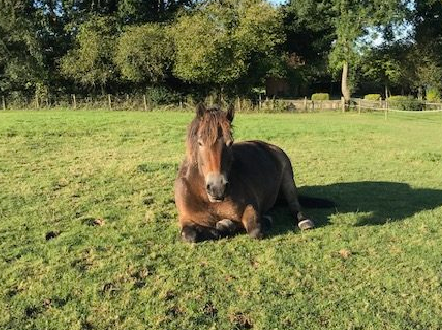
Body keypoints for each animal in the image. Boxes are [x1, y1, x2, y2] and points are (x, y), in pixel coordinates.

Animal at [174, 103, 334, 242]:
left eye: (230, 142)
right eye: (200, 142)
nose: (217, 188)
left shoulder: (250, 208)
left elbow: (254, 230)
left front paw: (229, 224)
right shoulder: (185, 219)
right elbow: (190, 235)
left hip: (288, 180)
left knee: (294, 204)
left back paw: (303, 221)